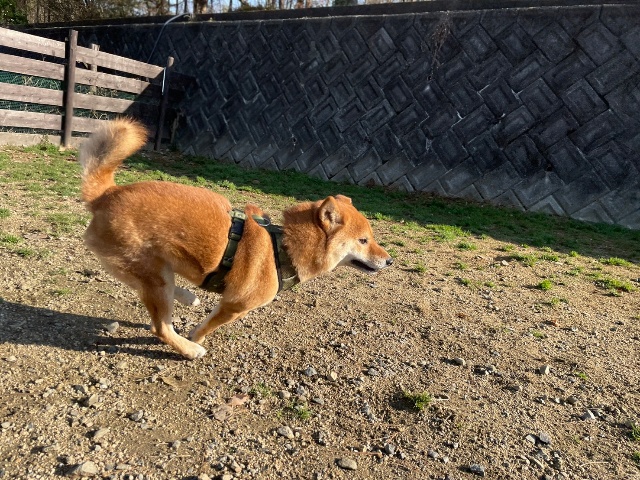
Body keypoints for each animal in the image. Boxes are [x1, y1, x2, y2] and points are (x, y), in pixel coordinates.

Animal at [79, 118, 392, 359]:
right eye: (363, 241)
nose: (389, 261)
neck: (283, 248)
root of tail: (107, 194)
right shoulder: (235, 306)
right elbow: (207, 327)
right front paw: (196, 338)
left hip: (152, 271)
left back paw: (188, 297)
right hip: (150, 273)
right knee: (161, 328)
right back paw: (190, 350)